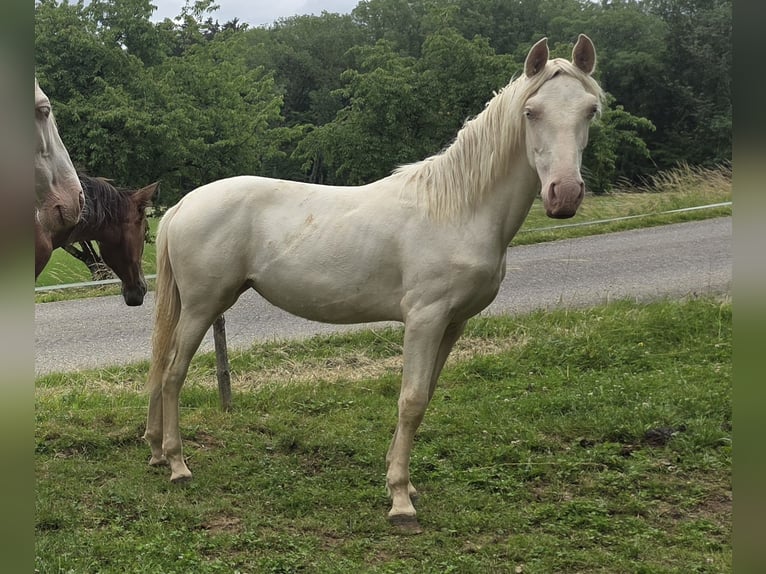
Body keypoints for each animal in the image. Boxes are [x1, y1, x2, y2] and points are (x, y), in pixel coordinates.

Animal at [144, 35, 604, 530]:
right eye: (531, 112)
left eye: (590, 110)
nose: (564, 195)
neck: (459, 208)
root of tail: (183, 204)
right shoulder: (424, 319)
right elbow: (411, 400)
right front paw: (400, 500)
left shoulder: (453, 323)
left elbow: (425, 397)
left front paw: (400, 479)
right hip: (201, 306)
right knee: (173, 374)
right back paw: (177, 464)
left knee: (161, 366)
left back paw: (155, 451)